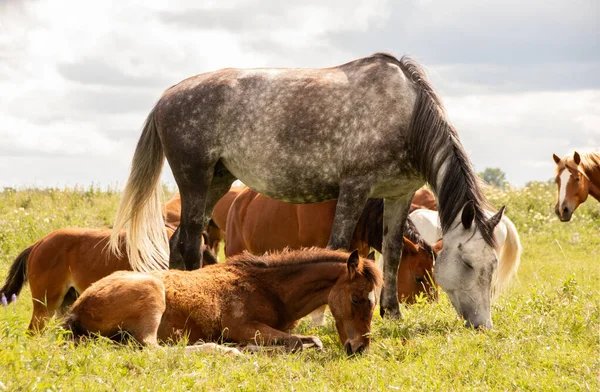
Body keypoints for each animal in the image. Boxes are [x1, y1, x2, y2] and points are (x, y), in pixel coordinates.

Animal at [63, 250, 382, 356]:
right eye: (356, 298)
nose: (359, 349)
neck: (269, 288)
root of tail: (78, 307)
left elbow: (311, 340)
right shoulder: (240, 325)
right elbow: (296, 343)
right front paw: (243, 347)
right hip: (153, 295)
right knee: (152, 348)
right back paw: (224, 349)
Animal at [111, 52, 506, 328]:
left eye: (494, 264)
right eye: (468, 263)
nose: (483, 325)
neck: (405, 114)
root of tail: (166, 97)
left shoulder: (398, 194)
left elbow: (392, 253)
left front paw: (392, 314)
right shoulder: (355, 188)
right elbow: (338, 249)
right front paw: (322, 317)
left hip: (217, 182)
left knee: (178, 242)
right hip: (195, 179)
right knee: (192, 243)